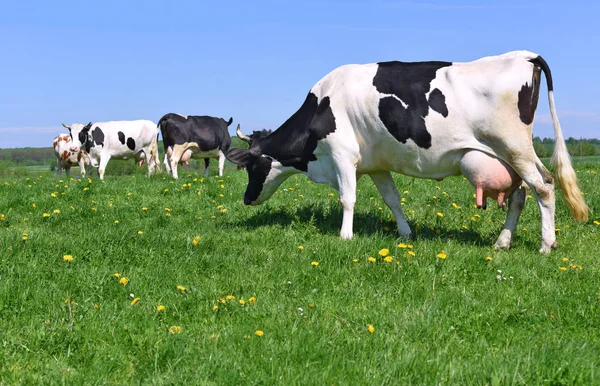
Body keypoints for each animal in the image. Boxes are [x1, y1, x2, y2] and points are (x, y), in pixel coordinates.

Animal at [227, 50, 588, 253]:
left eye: (251, 167)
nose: (245, 199)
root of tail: (523, 55)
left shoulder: (343, 154)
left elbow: (347, 199)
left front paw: (345, 236)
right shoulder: (375, 164)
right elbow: (393, 199)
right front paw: (405, 233)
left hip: (515, 148)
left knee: (544, 187)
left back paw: (546, 245)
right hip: (510, 156)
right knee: (520, 195)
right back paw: (502, 242)